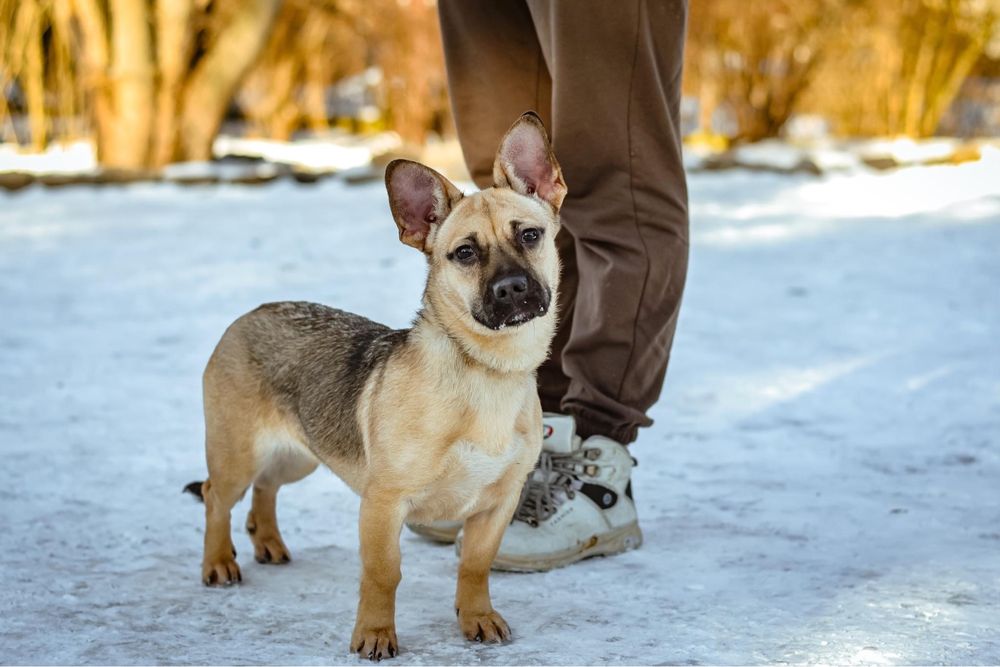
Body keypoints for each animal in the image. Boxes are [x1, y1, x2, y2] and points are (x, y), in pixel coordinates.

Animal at [185, 112, 568, 660]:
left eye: (531, 235)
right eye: (465, 253)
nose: (512, 287)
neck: (486, 368)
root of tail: (250, 314)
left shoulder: (497, 506)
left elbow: (475, 567)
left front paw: (476, 617)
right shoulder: (384, 504)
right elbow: (384, 575)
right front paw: (375, 633)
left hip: (299, 454)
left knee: (266, 487)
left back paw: (268, 541)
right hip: (237, 453)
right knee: (217, 495)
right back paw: (219, 561)